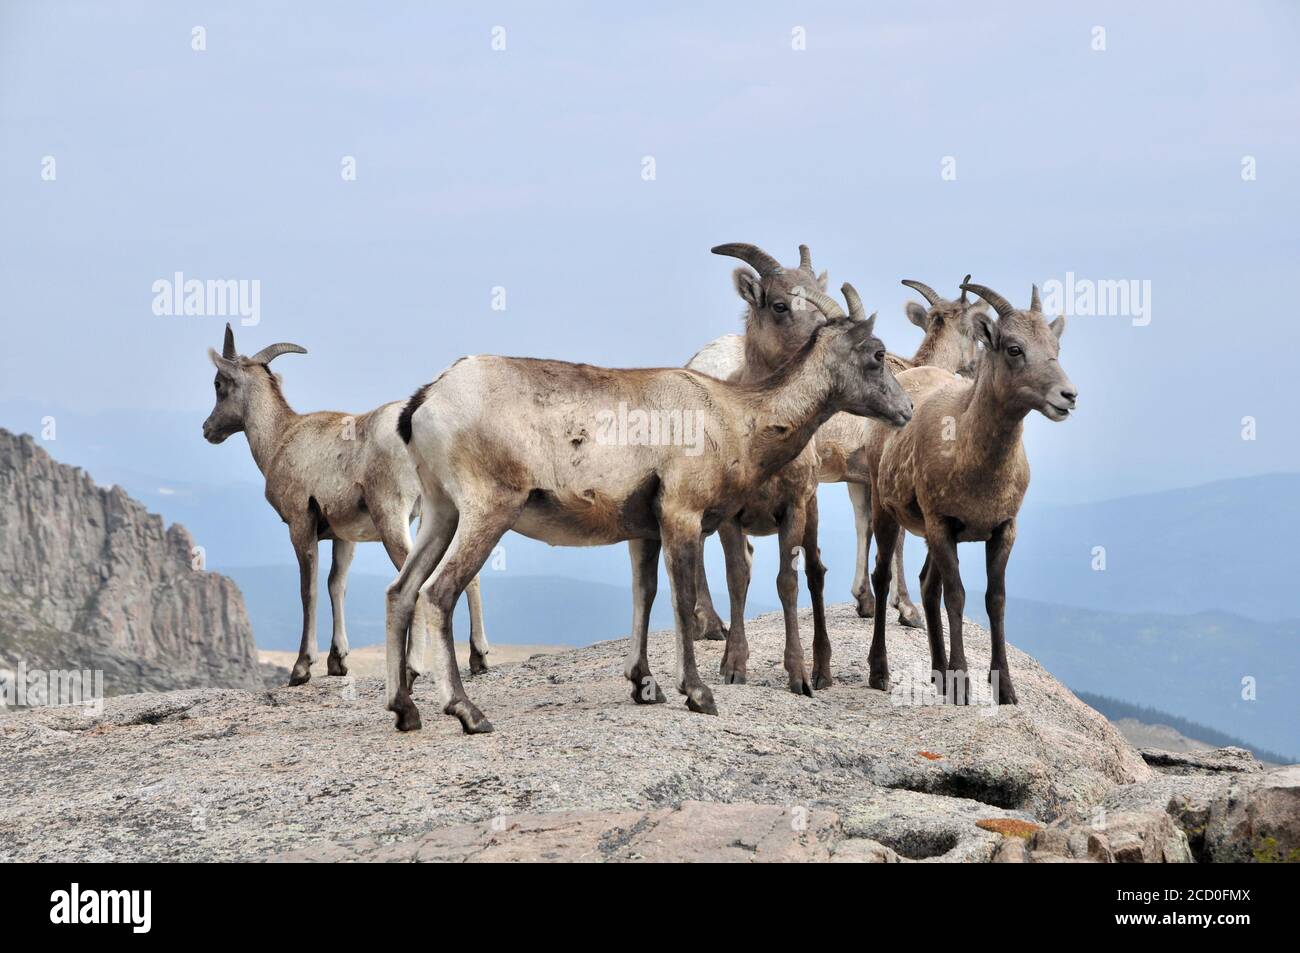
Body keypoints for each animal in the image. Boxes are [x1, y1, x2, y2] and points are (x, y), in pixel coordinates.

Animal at [197, 327, 488, 686]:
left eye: (218, 384)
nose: (208, 429)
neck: (280, 438)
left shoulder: (301, 524)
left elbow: (309, 589)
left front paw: (302, 668)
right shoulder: (344, 537)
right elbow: (336, 585)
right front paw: (337, 662)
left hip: (393, 517)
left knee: (413, 580)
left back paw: (411, 666)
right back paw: (479, 658)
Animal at [390, 280, 909, 728]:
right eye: (877, 355)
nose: (904, 411)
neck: (733, 417)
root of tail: (426, 401)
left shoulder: (644, 531)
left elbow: (647, 593)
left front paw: (646, 685)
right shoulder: (683, 516)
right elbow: (682, 599)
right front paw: (699, 693)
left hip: (441, 512)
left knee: (401, 591)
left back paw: (405, 711)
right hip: (487, 510)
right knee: (437, 593)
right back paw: (468, 712)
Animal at [863, 278, 1076, 702]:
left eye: (1056, 348)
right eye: (1014, 348)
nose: (1068, 396)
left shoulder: (1002, 530)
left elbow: (995, 600)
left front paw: (1004, 690)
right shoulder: (943, 524)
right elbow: (957, 596)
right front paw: (962, 685)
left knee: (928, 586)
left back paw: (938, 674)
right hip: (886, 509)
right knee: (884, 576)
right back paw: (880, 673)